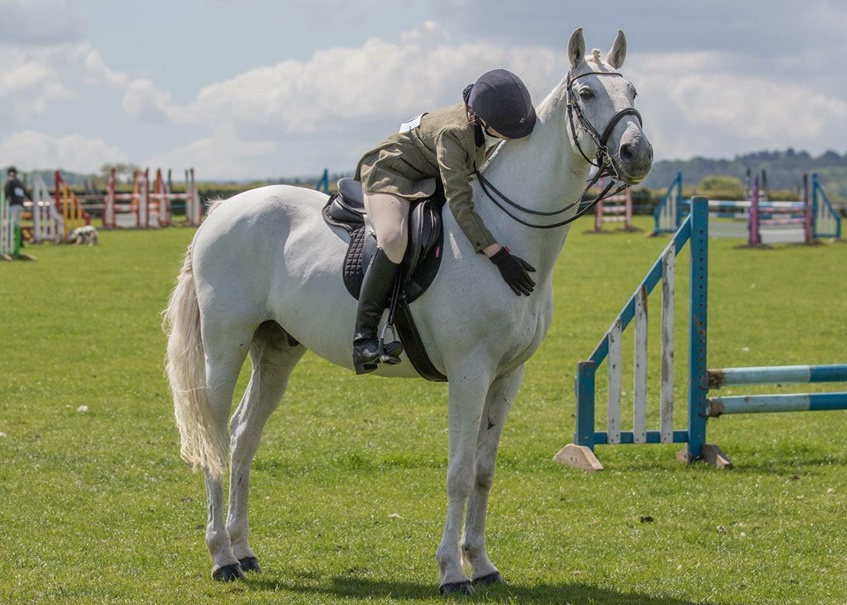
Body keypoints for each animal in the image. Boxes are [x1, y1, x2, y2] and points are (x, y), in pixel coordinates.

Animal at [166, 28, 656, 596]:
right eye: (587, 94)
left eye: (634, 92)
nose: (638, 153)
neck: (504, 235)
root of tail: (222, 209)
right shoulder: (470, 372)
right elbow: (459, 473)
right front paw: (452, 573)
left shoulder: (507, 375)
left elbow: (484, 471)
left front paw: (481, 564)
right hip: (226, 346)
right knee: (217, 438)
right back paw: (222, 558)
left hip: (277, 350)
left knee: (244, 436)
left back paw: (244, 551)